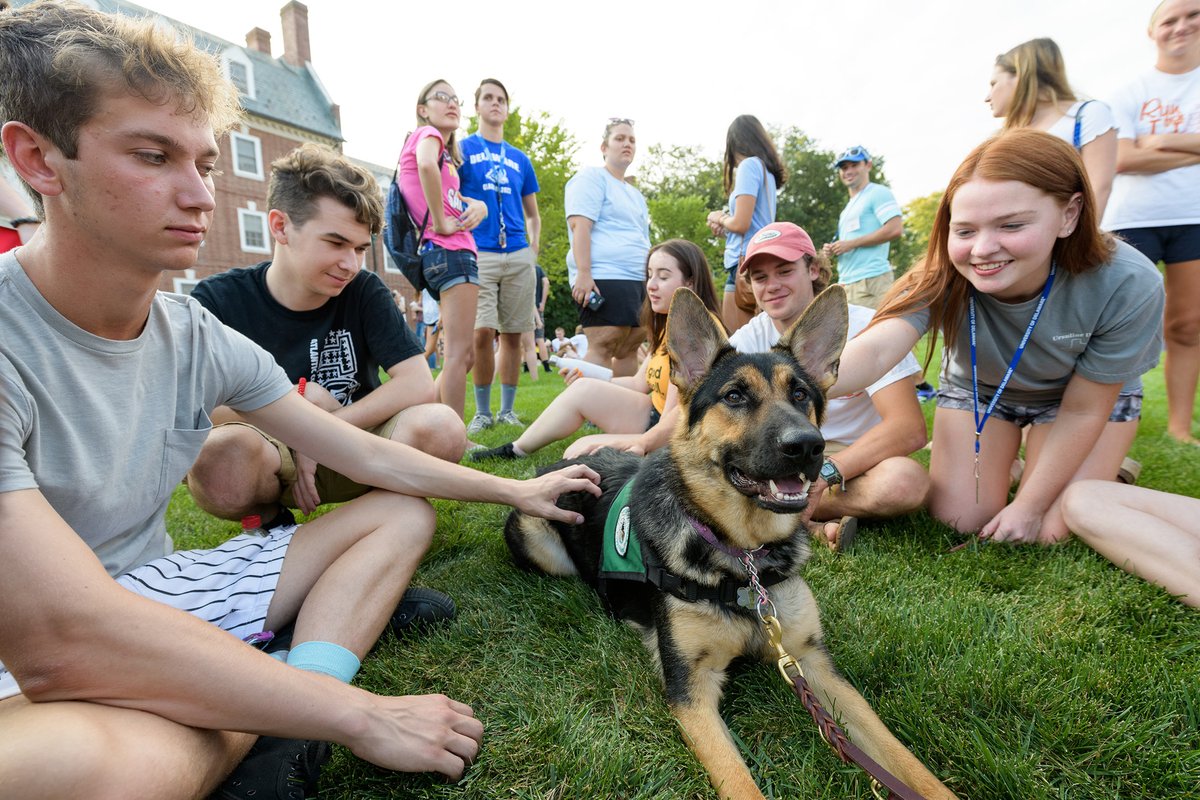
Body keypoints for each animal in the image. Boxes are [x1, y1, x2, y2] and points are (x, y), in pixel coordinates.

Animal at [506, 287, 955, 800]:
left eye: (800, 394)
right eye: (735, 396)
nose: (808, 446)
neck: (743, 559)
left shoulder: (812, 663)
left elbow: (901, 757)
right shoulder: (691, 690)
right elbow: (739, 782)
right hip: (540, 542)